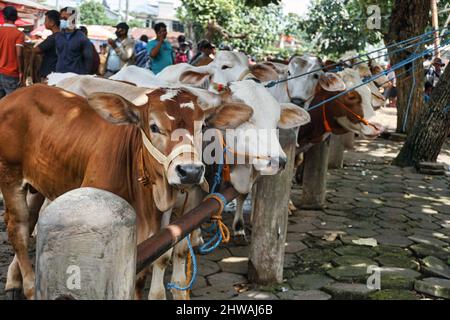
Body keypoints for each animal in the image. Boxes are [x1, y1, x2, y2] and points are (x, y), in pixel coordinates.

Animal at [0, 83, 253, 300]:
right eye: (153, 126)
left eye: (202, 127)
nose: (189, 171)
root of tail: (20, 92)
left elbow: (145, 274)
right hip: (10, 177)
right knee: (18, 229)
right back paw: (28, 287)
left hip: (38, 185)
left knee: (31, 221)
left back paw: (14, 280)